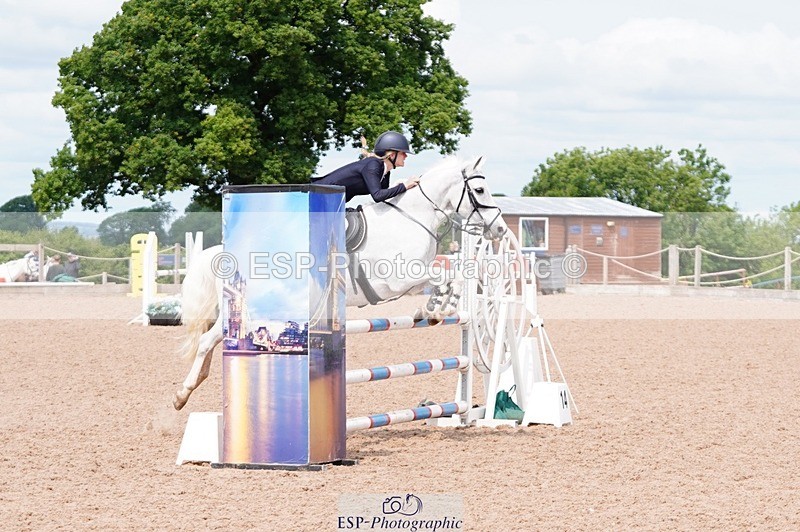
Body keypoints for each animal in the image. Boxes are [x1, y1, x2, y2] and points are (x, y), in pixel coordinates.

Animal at [173, 155, 507, 410]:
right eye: (479, 189)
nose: (501, 229)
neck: (412, 218)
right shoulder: (397, 279)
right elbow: (445, 277)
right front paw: (435, 310)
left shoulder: (410, 280)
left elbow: (448, 280)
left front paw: (432, 310)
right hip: (244, 310)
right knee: (208, 341)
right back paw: (181, 395)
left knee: (211, 343)